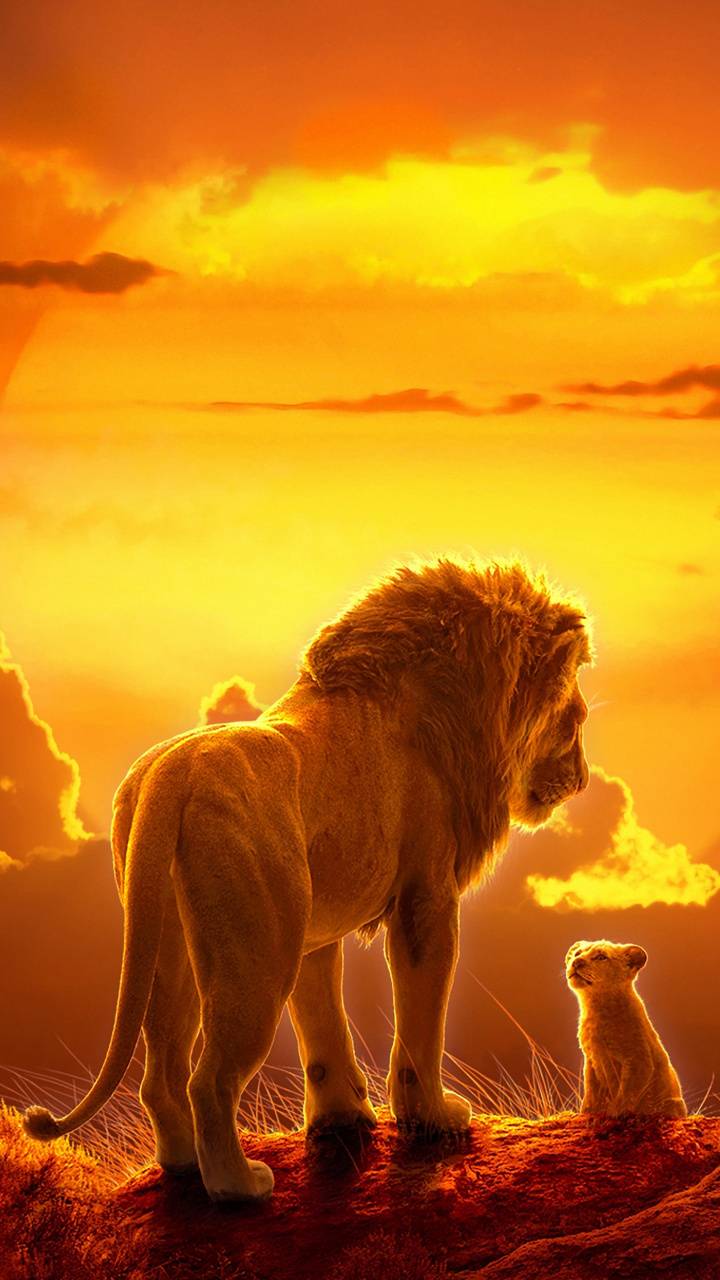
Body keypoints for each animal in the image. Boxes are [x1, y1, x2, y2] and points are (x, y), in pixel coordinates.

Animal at [24, 557, 591, 1202]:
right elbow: (421, 1022)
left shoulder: (313, 928)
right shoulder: (426, 896)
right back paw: (238, 1186)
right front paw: (434, 1118)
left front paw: (342, 1119)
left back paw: (183, 1167)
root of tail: (171, 775)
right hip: (256, 954)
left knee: (162, 1072)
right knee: (209, 1079)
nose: (582, 779)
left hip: (171, 943)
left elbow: (322, 1027)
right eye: (576, 718)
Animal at [566, 940, 687, 1117]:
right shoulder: (591, 1060)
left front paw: (615, 1113)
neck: (595, 1008)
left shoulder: (638, 1059)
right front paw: (587, 1112)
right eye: (577, 953)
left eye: (601, 957)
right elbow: (590, 1091)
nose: (576, 962)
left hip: (672, 1103)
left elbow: (626, 1092)